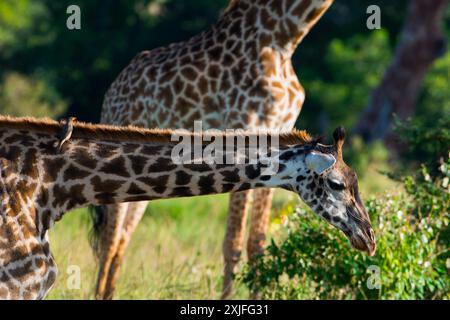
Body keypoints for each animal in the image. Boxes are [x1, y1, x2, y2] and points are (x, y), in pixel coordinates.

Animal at [95, 0, 334, 298]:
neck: (284, 38)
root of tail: (111, 92)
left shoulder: (280, 140)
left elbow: (257, 243)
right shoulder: (246, 135)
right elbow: (233, 241)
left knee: (122, 238)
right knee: (110, 238)